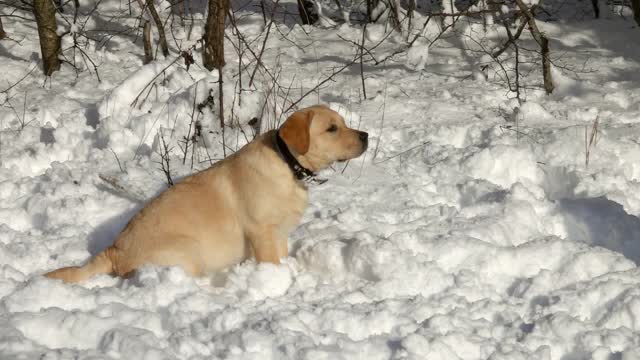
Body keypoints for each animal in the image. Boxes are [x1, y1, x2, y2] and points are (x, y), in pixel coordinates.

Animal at [46, 105, 370, 282]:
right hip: (188, 251)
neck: (287, 163)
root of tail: (114, 249)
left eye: (342, 123)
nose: (366, 135)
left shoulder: (280, 233)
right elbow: (270, 262)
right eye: (331, 129)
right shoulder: (262, 232)